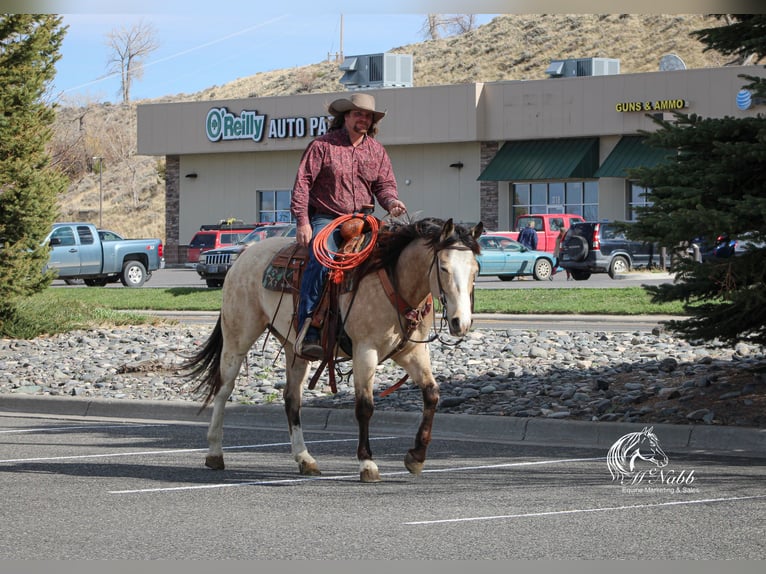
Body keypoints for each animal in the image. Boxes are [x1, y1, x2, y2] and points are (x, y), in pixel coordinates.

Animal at [183, 218, 484, 484]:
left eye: (476, 269)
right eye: (443, 267)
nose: (460, 322)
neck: (394, 278)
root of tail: (244, 256)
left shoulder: (411, 352)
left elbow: (432, 395)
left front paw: (416, 457)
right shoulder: (365, 351)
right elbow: (365, 407)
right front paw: (367, 464)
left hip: (295, 348)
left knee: (291, 399)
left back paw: (305, 459)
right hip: (238, 336)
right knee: (223, 389)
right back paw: (215, 453)